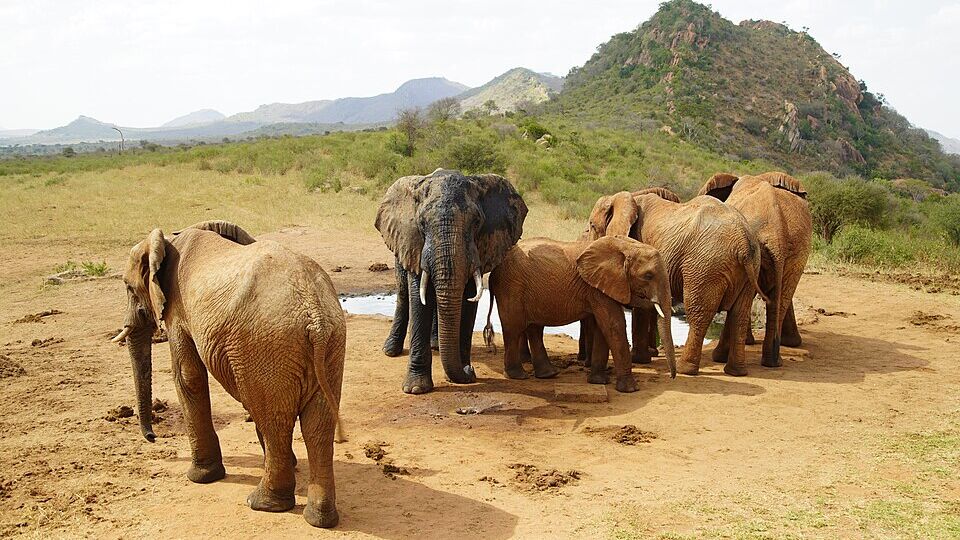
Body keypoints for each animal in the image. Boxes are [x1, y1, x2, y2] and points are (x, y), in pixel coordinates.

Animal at [111, 220, 345, 528]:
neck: (171, 238)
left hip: (266, 343)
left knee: (275, 420)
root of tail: (314, 313)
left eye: (128, 287)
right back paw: (319, 519)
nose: (152, 437)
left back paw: (261, 504)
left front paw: (200, 478)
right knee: (317, 425)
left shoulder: (178, 311)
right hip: (327, 344)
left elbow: (187, 376)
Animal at [375, 168, 527, 394]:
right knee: (403, 295)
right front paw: (416, 389)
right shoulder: (415, 244)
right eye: (421, 224)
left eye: (476, 223)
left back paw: (436, 345)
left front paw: (464, 375)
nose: (471, 369)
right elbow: (418, 299)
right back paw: (391, 351)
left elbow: (468, 300)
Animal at [484, 236, 676, 393]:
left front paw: (599, 382)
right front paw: (630, 389)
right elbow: (613, 325)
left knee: (534, 328)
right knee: (514, 328)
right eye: (648, 276)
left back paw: (548, 374)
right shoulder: (597, 288)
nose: (673, 377)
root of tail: (493, 271)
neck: (625, 245)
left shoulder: (601, 286)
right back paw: (518, 376)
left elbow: (602, 328)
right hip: (511, 287)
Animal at [588, 189, 765, 376]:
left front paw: (638, 359)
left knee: (698, 313)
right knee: (740, 314)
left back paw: (684, 369)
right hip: (752, 266)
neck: (629, 197)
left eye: (592, 225)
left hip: (704, 266)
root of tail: (743, 241)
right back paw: (736, 371)